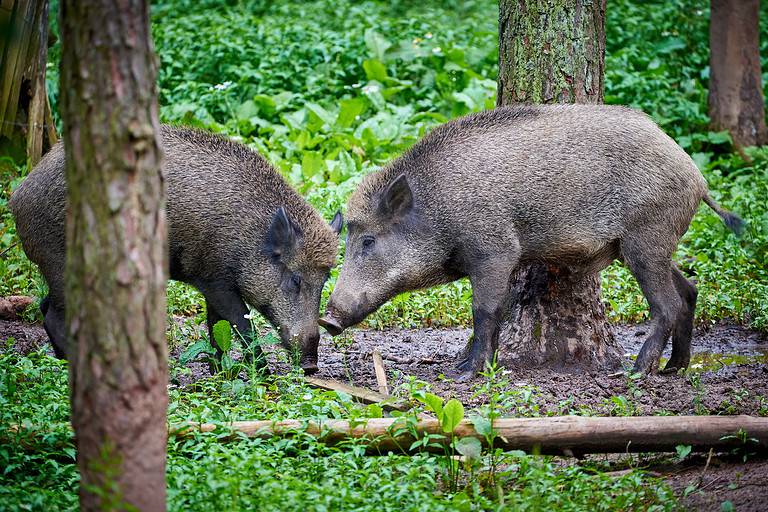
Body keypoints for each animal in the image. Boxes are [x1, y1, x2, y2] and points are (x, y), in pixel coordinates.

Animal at [10, 125, 342, 374]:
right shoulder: (216, 280)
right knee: (53, 316)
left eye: (324, 280)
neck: (250, 236)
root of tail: (18, 196)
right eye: (295, 279)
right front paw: (263, 374)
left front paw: (219, 373)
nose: (311, 366)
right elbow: (241, 328)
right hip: (60, 264)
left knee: (44, 306)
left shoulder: (213, 286)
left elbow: (217, 328)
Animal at [320, 104, 743, 377]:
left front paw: (464, 375)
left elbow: (486, 309)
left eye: (368, 240)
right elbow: (498, 310)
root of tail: (696, 176)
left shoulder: (495, 250)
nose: (328, 319)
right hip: (649, 246)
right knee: (689, 290)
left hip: (646, 240)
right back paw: (674, 369)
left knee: (667, 305)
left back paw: (635, 373)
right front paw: (469, 367)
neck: (438, 209)